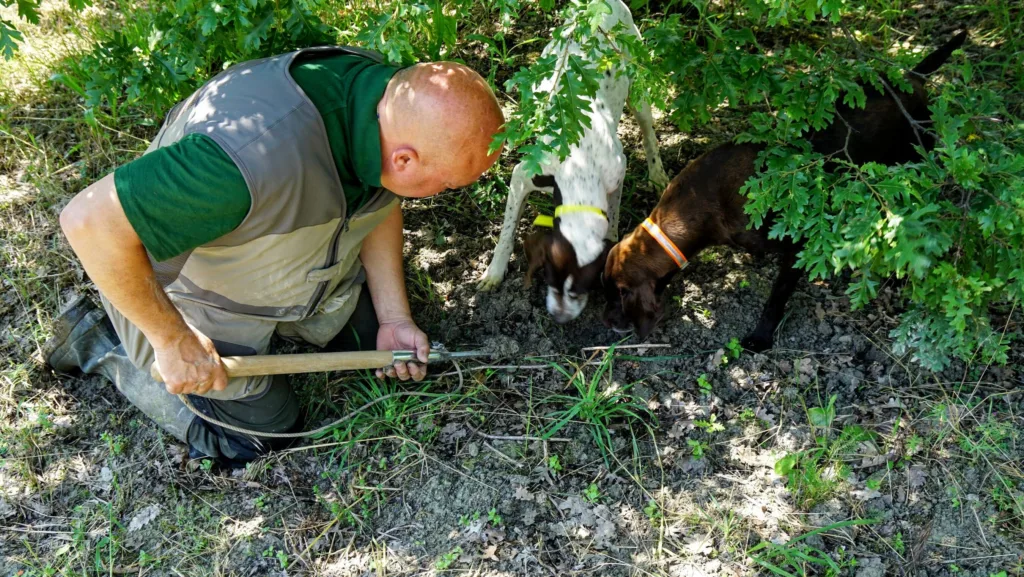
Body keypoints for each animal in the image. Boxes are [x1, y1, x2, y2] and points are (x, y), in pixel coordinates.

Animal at [475, 0, 667, 325]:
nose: (560, 317)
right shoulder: (522, 177)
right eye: (549, 278)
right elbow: (507, 230)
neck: (579, 169)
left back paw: (657, 173)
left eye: (580, 288)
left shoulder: (617, 174)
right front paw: (495, 271)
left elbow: (613, 217)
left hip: (638, 89)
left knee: (649, 134)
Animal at [602, 32, 962, 352]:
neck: (702, 202)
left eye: (618, 292)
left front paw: (761, 337)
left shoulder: (797, 246)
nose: (607, 323)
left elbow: (776, 296)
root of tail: (911, 77)